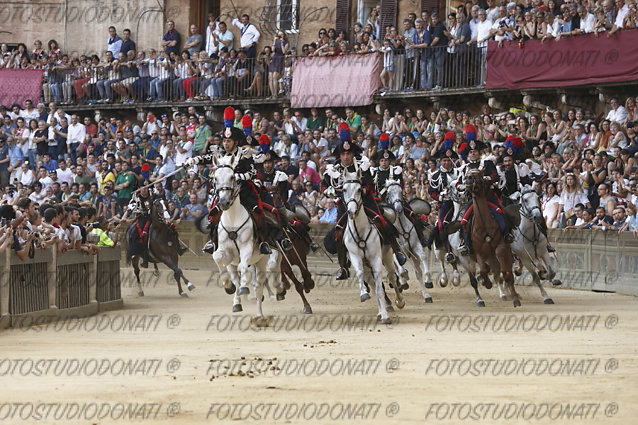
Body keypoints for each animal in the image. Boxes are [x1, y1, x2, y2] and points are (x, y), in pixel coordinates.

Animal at [212, 157, 282, 316]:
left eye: (232, 177)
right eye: (215, 178)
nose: (224, 202)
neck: (233, 220)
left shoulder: (247, 249)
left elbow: (243, 266)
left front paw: (245, 288)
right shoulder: (225, 252)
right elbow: (217, 257)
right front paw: (228, 286)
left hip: (261, 261)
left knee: (258, 286)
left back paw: (259, 313)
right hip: (234, 264)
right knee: (237, 279)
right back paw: (237, 302)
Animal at [342, 171, 398, 322]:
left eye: (359, 190)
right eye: (344, 190)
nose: (351, 211)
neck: (360, 232)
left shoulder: (375, 259)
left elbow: (380, 289)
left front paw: (385, 316)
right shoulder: (355, 257)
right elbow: (360, 274)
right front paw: (363, 294)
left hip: (387, 257)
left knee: (392, 277)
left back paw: (399, 302)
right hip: (368, 267)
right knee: (372, 284)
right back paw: (379, 311)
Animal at [468, 171, 524, 306]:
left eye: (479, 175)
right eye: (467, 174)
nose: (469, 178)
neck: (484, 225)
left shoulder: (502, 246)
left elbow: (505, 271)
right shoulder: (478, 252)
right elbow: (484, 269)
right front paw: (486, 282)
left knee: (507, 273)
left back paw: (514, 295)